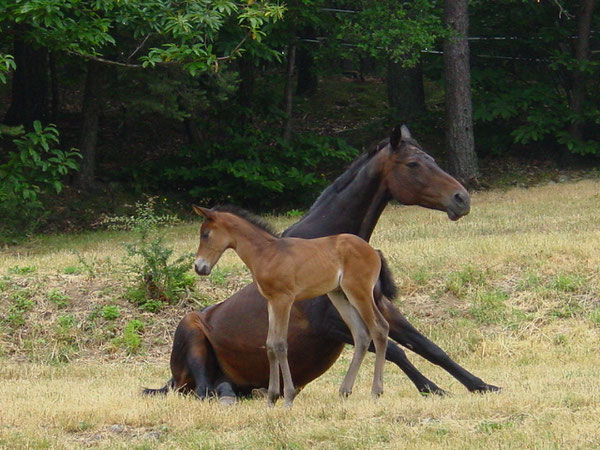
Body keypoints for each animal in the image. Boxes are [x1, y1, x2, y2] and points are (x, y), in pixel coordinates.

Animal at [192, 206, 390, 410]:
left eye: (205, 234)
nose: (199, 267)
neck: (266, 253)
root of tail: (373, 251)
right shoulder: (271, 301)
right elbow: (270, 344)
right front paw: (271, 399)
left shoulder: (284, 299)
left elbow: (280, 344)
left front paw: (288, 397)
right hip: (339, 295)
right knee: (361, 334)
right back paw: (345, 391)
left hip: (359, 291)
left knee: (379, 328)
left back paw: (376, 391)